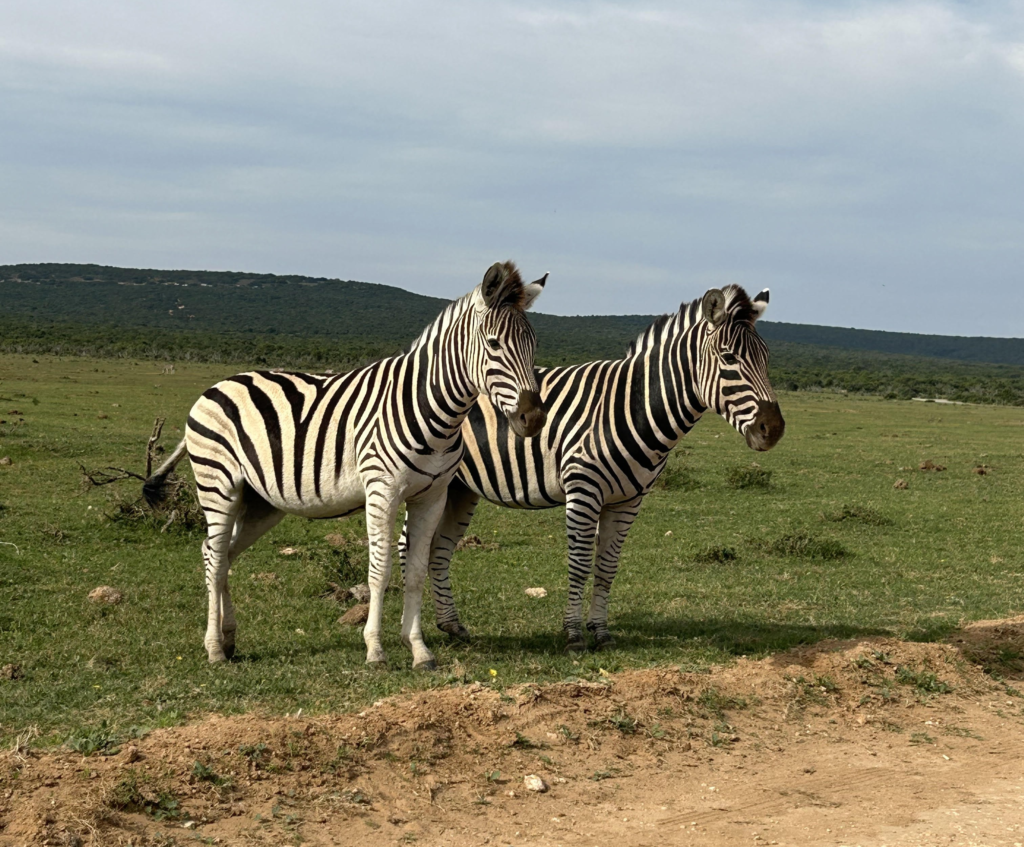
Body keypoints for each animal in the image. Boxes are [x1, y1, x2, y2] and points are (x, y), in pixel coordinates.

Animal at [143, 262, 548, 670]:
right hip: (218, 484)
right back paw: (213, 648)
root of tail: (216, 386)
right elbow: (381, 570)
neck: (435, 411)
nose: (533, 419)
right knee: (213, 557)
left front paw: (418, 649)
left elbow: (416, 572)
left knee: (222, 555)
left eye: (534, 345)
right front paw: (375, 649)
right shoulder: (382, 490)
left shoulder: (431, 496)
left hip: (260, 502)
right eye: (494, 344)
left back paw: (228, 640)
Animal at [402, 284, 785, 651]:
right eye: (729, 358)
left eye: (767, 357)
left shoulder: (628, 500)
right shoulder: (583, 490)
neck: (631, 406)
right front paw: (573, 634)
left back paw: (452, 625)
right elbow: (580, 563)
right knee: (410, 546)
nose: (775, 429)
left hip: (458, 488)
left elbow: (607, 567)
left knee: (439, 550)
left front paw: (601, 631)